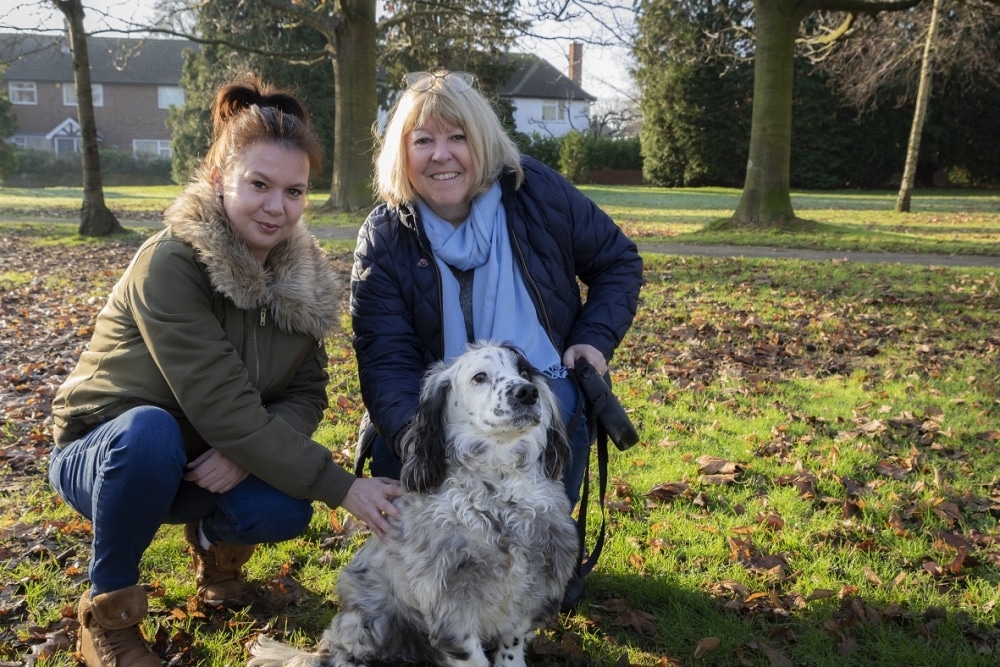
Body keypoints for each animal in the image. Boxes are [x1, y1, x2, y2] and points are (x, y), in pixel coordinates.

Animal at [246, 344, 584, 667]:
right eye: (480, 377)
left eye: (524, 372)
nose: (527, 392)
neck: (498, 490)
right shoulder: (449, 605)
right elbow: (471, 655)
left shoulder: (530, 587)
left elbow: (511, 646)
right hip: (369, 618)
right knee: (336, 652)